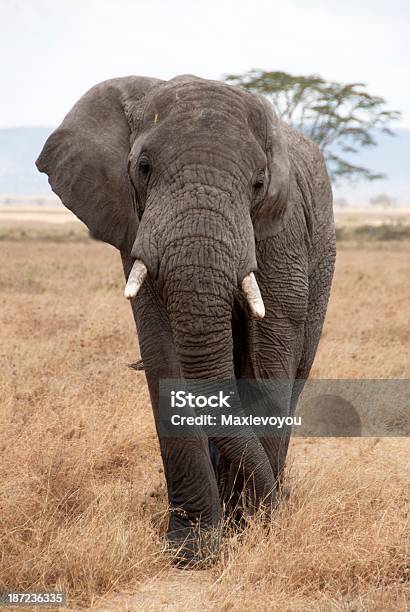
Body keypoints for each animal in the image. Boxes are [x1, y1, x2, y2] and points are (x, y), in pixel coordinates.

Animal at [36, 74, 336, 568]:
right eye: (143, 167)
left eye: (258, 183)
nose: (280, 504)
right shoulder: (136, 229)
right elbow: (163, 351)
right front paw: (193, 552)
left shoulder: (285, 232)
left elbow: (273, 345)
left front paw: (255, 528)